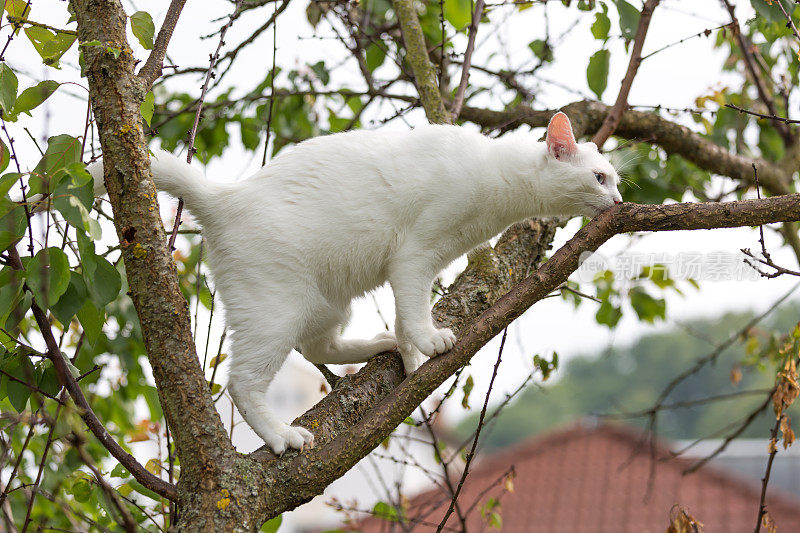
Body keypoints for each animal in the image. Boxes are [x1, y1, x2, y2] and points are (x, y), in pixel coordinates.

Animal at [84, 112, 620, 454]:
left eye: (614, 179)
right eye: (600, 177)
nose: (617, 202)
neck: (498, 185)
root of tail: (225, 198)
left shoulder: (425, 262)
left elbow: (406, 317)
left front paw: (410, 354)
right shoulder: (414, 255)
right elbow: (415, 309)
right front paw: (429, 341)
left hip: (328, 305)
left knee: (320, 347)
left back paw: (380, 344)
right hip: (274, 316)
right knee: (242, 382)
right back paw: (281, 437)